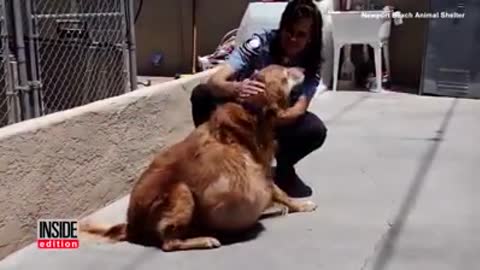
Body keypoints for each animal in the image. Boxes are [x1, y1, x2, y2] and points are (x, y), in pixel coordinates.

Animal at [80, 65, 316, 251]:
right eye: (286, 74)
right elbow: (280, 191)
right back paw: (204, 239)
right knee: (168, 243)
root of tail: (131, 225)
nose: (305, 70)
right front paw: (300, 205)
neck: (252, 112)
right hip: (181, 191)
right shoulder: (261, 168)